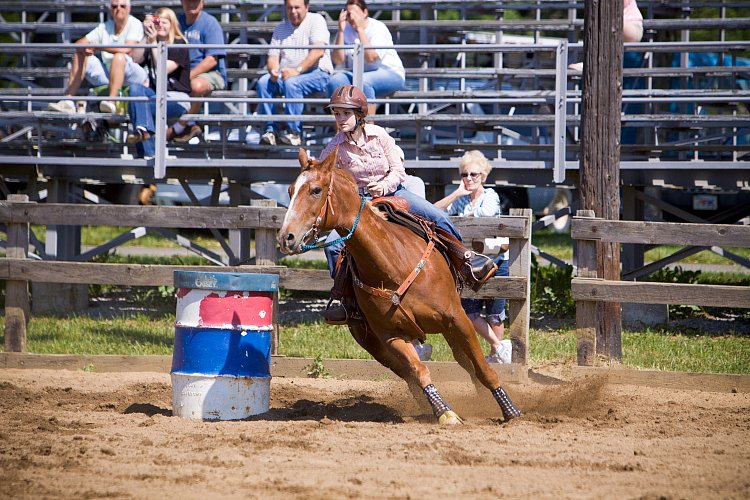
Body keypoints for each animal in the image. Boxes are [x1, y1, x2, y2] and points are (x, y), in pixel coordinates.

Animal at [278, 148, 524, 426]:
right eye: (290, 190)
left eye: (316, 190)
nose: (286, 237)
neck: (393, 264)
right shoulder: (390, 335)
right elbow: (418, 371)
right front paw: (445, 413)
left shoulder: (457, 318)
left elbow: (482, 367)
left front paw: (510, 411)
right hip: (374, 345)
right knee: (410, 374)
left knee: (467, 362)